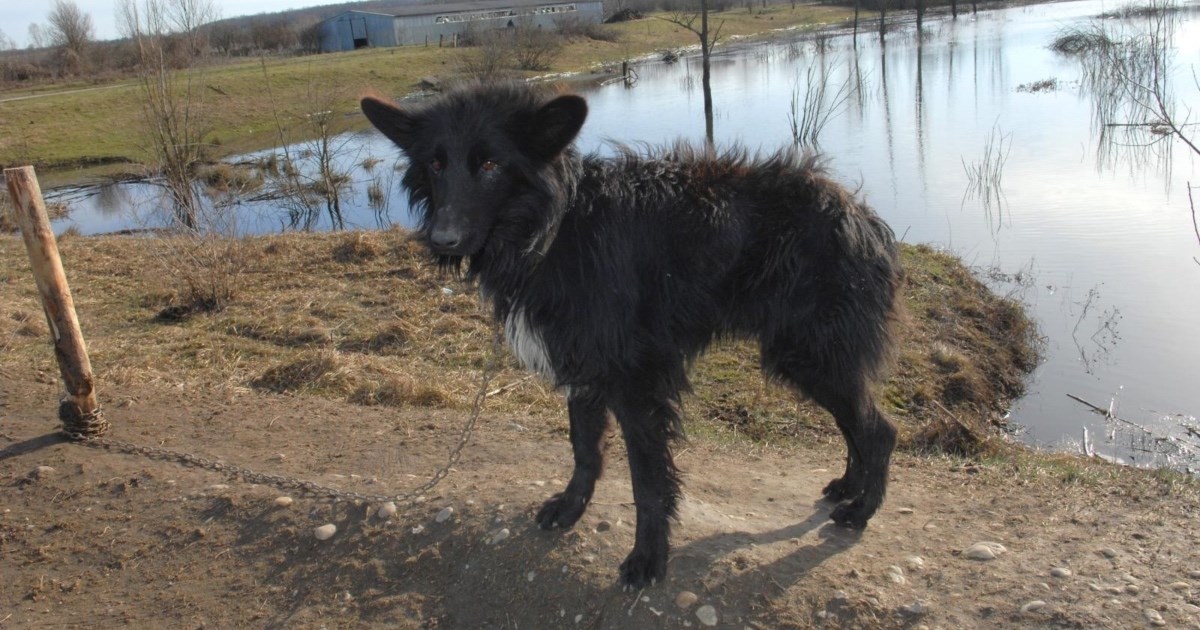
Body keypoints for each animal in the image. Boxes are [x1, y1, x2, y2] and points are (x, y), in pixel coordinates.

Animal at [360, 81, 902, 588]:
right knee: (855, 425)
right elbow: (584, 448)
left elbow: (648, 480)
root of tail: (864, 217)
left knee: (877, 430)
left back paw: (862, 509)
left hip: (810, 352)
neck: (556, 228)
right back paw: (849, 486)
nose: (442, 239)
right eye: (435, 165)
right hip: (814, 355)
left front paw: (648, 558)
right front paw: (571, 507)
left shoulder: (635, 381)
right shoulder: (582, 367)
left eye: (491, 164)